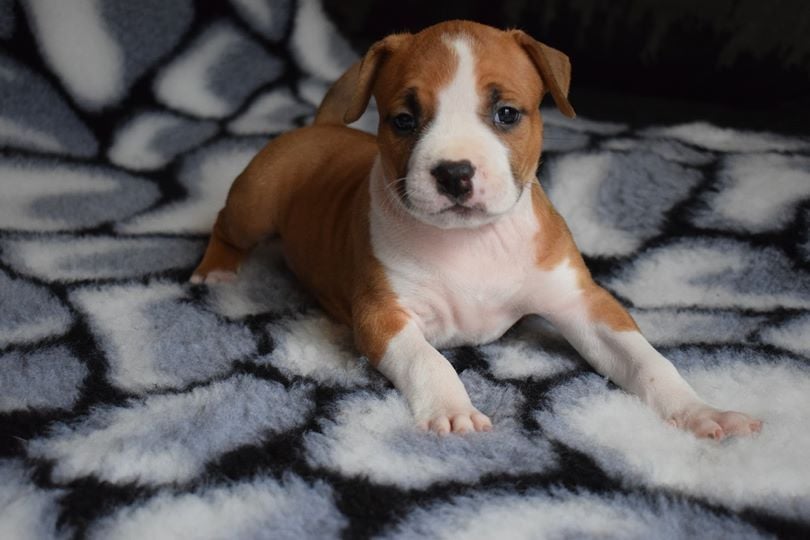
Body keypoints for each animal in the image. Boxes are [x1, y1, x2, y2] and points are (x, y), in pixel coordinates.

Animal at [191, 20, 762, 439]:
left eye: (507, 113)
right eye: (403, 120)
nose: (453, 173)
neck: (472, 241)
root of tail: (320, 129)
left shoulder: (584, 303)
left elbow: (648, 362)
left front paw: (702, 411)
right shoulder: (382, 315)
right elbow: (427, 359)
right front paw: (452, 410)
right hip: (255, 199)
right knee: (226, 224)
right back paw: (216, 271)